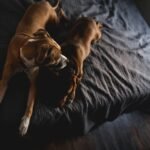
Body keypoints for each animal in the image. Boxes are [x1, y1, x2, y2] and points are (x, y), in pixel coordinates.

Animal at [0, 0, 67, 136]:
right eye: (56, 59)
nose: (67, 60)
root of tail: (45, 3)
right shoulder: (5, 80)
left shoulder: (34, 84)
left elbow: (30, 105)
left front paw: (24, 124)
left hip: (54, 20)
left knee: (58, 15)